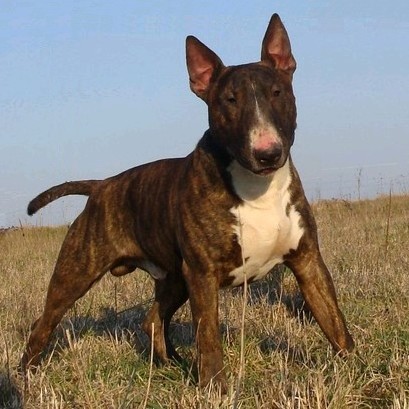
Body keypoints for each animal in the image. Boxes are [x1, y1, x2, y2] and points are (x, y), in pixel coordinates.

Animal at [21, 14, 354, 391]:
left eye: (277, 93)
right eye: (229, 100)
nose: (268, 153)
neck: (257, 186)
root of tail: (102, 186)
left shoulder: (308, 261)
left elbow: (334, 321)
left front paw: (356, 368)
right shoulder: (203, 275)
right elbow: (208, 337)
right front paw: (216, 389)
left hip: (174, 277)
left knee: (152, 319)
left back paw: (173, 364)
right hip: (76, 273)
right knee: (44, 323)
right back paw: (24, 376)